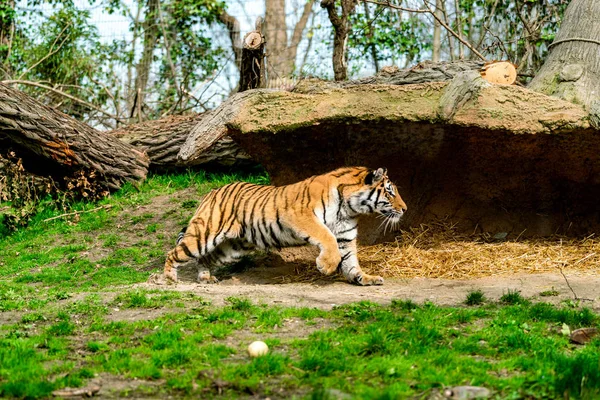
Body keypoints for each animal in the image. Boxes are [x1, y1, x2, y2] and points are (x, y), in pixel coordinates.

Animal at [164, 166, 408, 284]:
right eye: (390, 192)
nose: (405, 209)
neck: (349, 208)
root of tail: (213, 191)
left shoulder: (345, 237)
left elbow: (351, 262)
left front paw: (364, 279)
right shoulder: (302, 216)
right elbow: (326, 237)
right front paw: (326, 266)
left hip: (232, 247)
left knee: (205, 259)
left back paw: (206, 277)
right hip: (203, 235)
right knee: (173, 253)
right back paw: (167, 279)